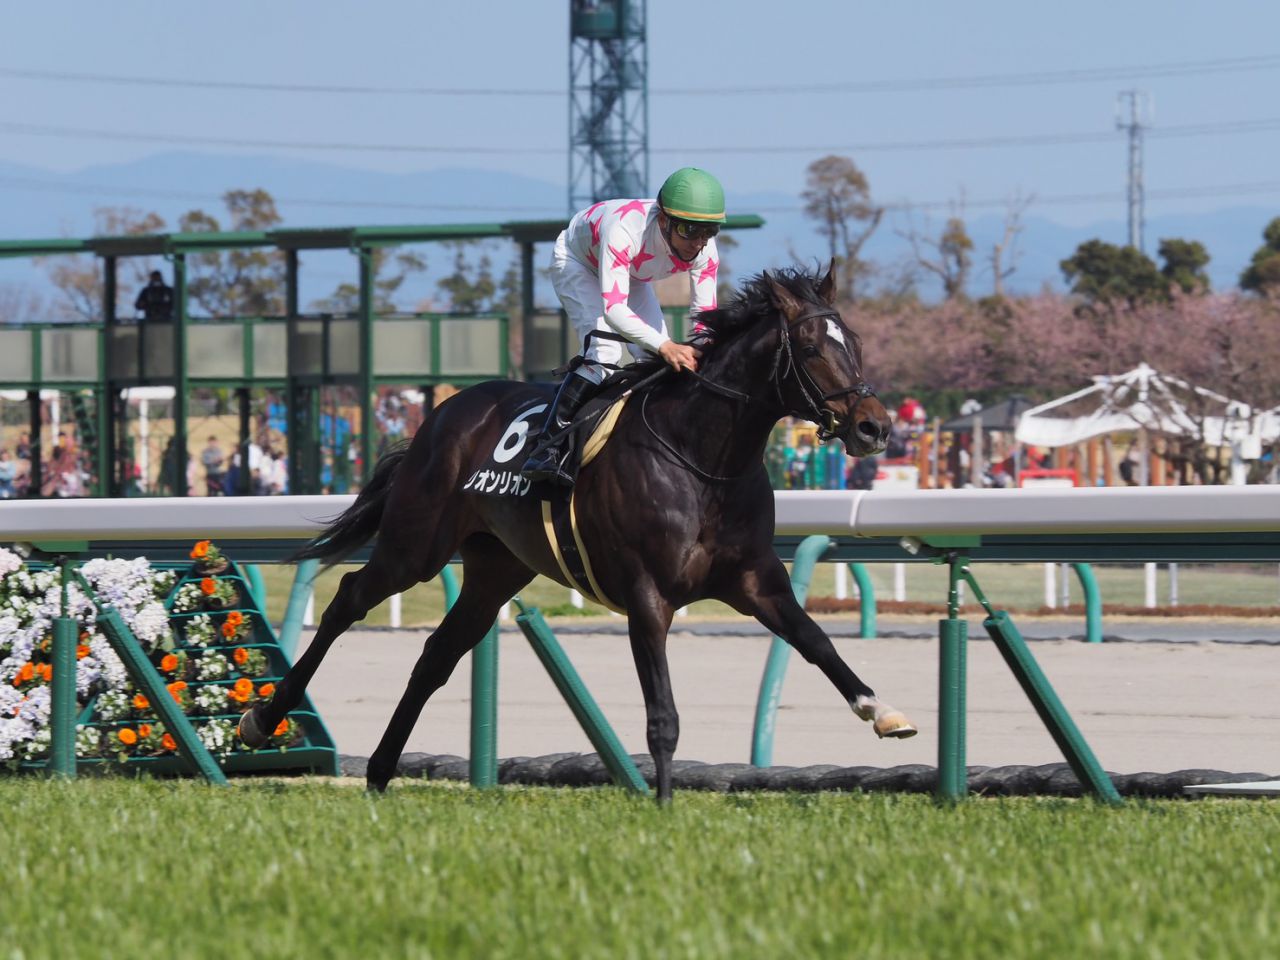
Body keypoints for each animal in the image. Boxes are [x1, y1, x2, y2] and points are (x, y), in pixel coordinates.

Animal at [240, 263, 916, 803]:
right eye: (810, 346)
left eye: (855, 341)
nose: (875, 427)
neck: (704, 459)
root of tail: (442, 414)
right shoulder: (647, 594)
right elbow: (662, 713)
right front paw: (663, 804)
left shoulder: (755, 579)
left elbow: (817, 643)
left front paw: (884, 712)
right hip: (416, 546)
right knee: (348, 600)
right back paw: (263, 720)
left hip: (497, 569)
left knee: (436, 656)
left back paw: (380, 772)